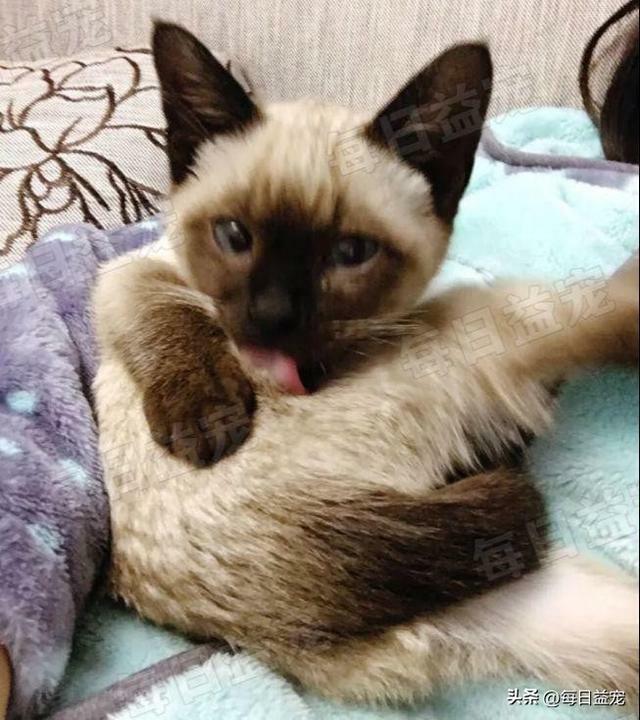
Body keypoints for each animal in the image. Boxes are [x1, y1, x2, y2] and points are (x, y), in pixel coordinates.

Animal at [93, 22, 639, 706]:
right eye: (234, 237)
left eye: (350, 253)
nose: (271, 316)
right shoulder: (131, 273)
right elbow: (166, 313)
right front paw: (207, 417)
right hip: (495, 314)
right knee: (596, 318)